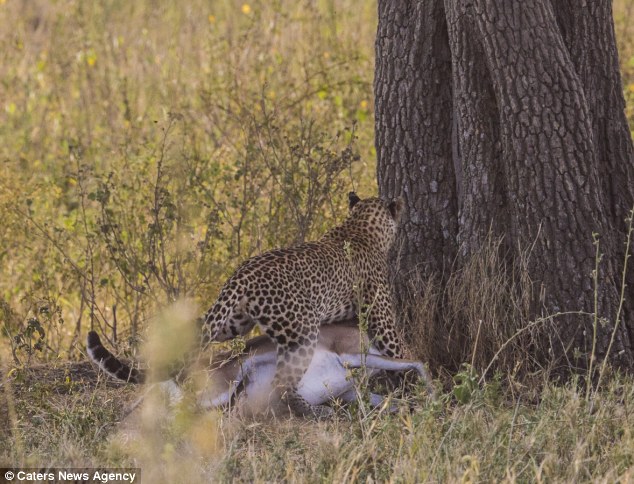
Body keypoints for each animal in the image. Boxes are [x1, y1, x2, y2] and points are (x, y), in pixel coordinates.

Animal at [198, 191, 402, 418]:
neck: (360, 226)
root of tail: (243, 274)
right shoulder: (383, 321)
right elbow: (399, 351)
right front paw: (414, 387)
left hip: (231, 323)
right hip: (304, 331)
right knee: (281, 384)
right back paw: (316, 411)